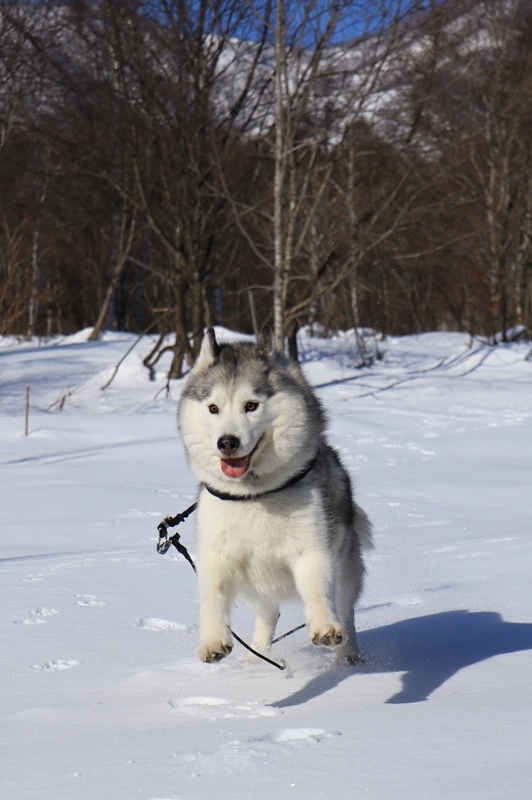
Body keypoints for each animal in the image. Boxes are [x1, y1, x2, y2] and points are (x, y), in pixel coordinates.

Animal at [177, 328, 372, 664]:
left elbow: (318, 588)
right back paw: (256, 660)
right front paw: (213, 639)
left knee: (345, 610)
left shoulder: (312, 548)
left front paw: (324, 626)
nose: (227, 442)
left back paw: (349, 656)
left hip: (347, 567)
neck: (255, 495)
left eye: (251, 405)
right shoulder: (216, 553)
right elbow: (213, 594)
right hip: (257, 588)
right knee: (268, 615)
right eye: (213, 408)